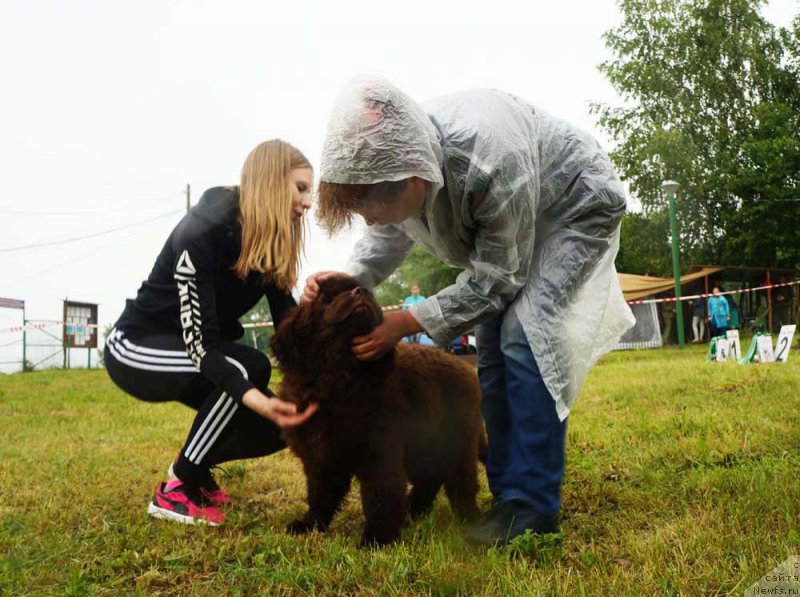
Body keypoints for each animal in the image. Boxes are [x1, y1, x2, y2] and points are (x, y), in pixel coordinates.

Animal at [270, 274, 482, 544]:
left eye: (362, 290)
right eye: (328, 297)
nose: (360, 293)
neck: (340, 379)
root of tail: (463, 365)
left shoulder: (379, 449)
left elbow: (380, 496)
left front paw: (377, 538)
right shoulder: (320, 454)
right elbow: (320, 494)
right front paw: (309, 524)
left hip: (454, 441)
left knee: (460, 482)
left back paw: (470, 518)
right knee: (429, 479)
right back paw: (413, 510)